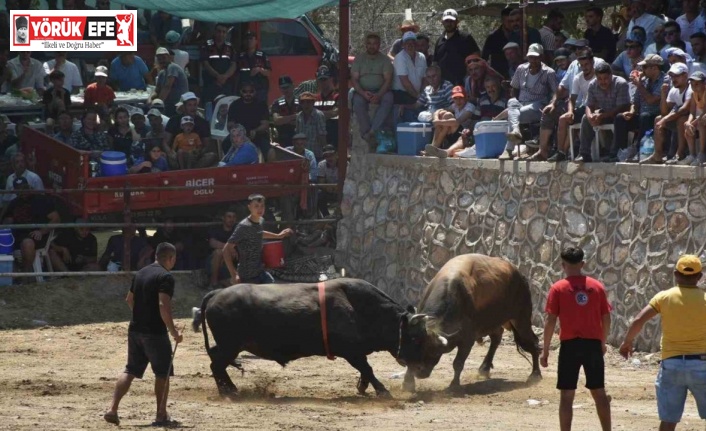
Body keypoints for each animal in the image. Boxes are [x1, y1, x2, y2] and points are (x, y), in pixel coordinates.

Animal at [191, 280, 446, 398]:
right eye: (416, 338)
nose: (424, 369)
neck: (359, 308)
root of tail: (217, 293)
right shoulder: (351, 352)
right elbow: (368, 369)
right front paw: (382, 391)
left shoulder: (356, 352)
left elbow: (366, 370)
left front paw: (362, 387)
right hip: (231, 345)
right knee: (216, 365)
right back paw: (229, 391)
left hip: (228, 346)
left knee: (216, 364)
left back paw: (229, 389)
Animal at [402, 255, 540, 394]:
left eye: (436, 353)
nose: (421, 372)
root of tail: (520, 277)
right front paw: (408, 384)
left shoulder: (467, 340)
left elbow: (458, 363)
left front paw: (454, 385)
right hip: (494, 322)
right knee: (497, 337)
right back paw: (485, 368)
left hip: (521, 319)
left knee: (533, 342)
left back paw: (535, 375)